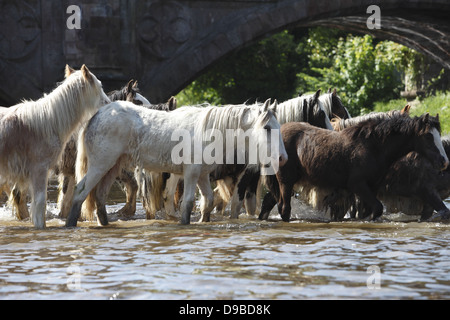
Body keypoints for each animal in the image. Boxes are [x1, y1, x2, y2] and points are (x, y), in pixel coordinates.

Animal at [65, 99, 286, 226]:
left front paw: (203, 221)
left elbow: (208, 202)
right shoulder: (190, 174)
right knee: (80, 192)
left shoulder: (202, 175)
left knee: (100, 196)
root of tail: (98, 114)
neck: (210, 132)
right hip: (100, 165)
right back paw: (70, 224)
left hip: (112, 167)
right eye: (267, 127)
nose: (282, 158)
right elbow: (187, 204)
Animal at [260, 113, 446, 222]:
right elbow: (377, 209)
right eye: (428, 136)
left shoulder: (371, 188)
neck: (373, 147)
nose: (444, 161)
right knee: (284, 209)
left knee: (270, 203)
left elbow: (370, 211)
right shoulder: (358, 185)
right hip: (286, 181)